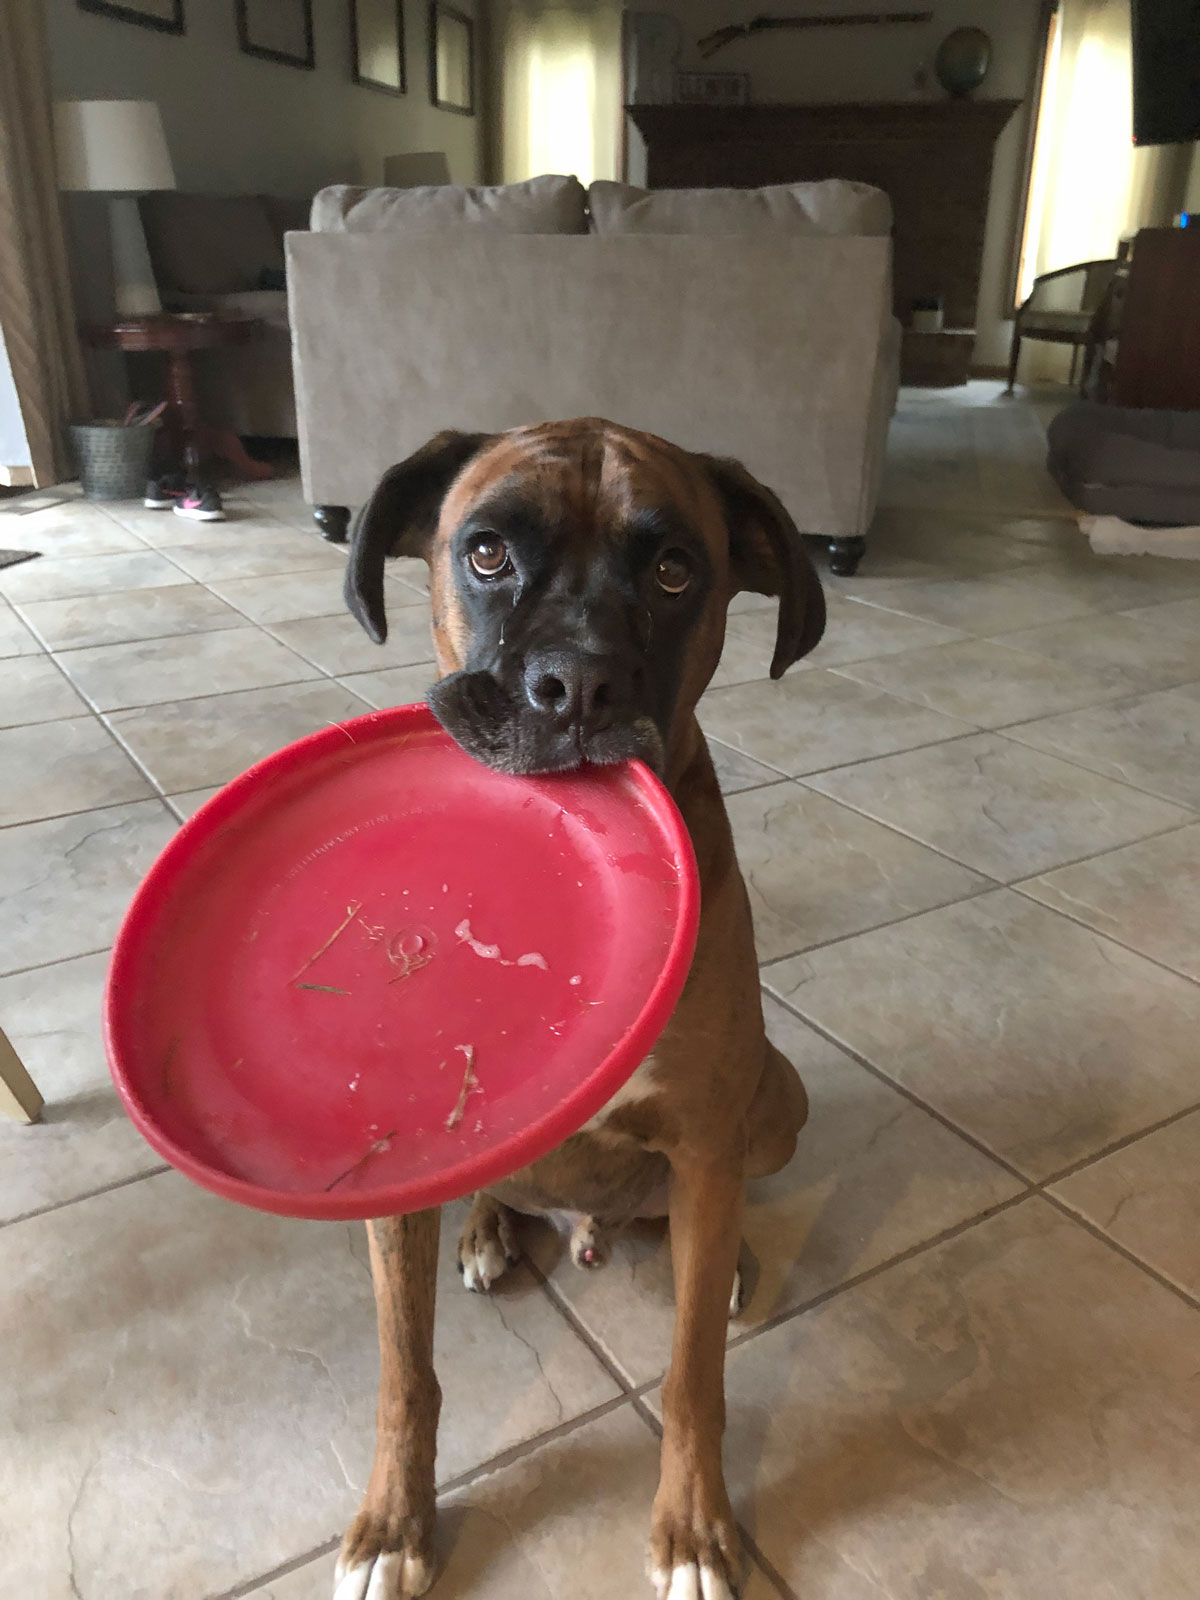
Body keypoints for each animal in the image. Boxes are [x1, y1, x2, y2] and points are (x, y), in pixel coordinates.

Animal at [334, 418, 825, 1600]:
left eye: (676, 571)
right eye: (485, 554)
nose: (580, 684)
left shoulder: (706, 1137)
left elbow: (694, 1375)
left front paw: (697, 1531)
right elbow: (403, 1375)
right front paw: (391, 1524)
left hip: (777, 1098)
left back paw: (729, 1257)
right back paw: (485, 1226)